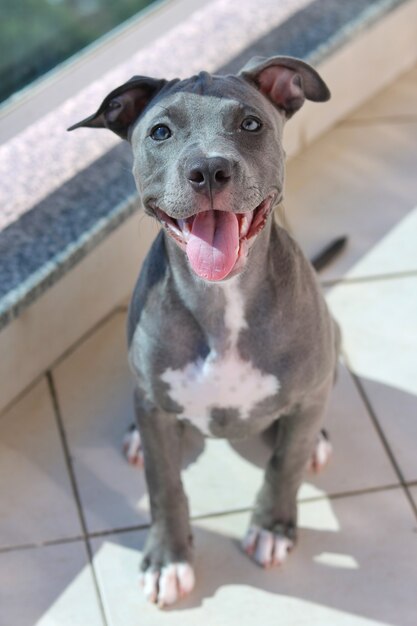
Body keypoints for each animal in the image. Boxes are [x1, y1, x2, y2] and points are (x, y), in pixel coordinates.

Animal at [69, 57, 342, 604]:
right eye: (160, 131)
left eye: (251, 124)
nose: (210, 170)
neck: (222, 301)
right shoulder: (156, 411)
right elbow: (164, 486)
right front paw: (168, 559)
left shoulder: (305, 397)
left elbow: (285, 464)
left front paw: (272, 527)